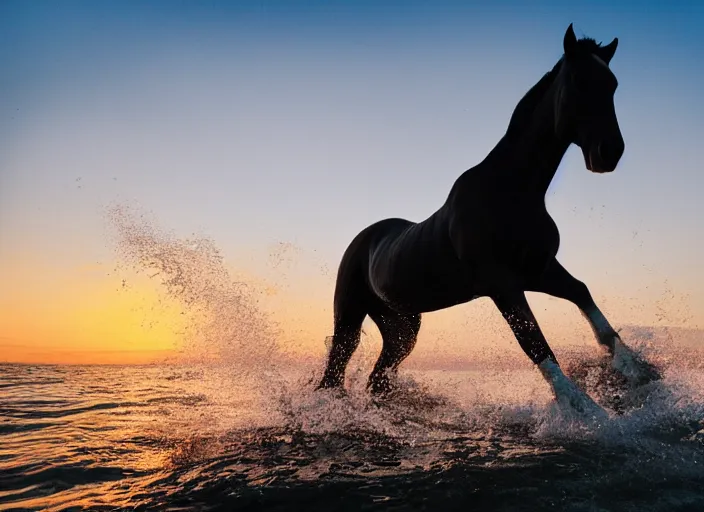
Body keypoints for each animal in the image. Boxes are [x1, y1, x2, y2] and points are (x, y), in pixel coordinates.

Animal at [320, 23, 660, 416]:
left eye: (613, 84)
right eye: (578, 80)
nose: (610, 152)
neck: (511, 191)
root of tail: (364, 239)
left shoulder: (539, 270)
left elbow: (583, 294)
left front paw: (636, 369)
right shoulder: (502, 283)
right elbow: (533, 341)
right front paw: (584, 409)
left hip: (401, 327)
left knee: (379, 379)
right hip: (349, 317)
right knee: (333, 374)